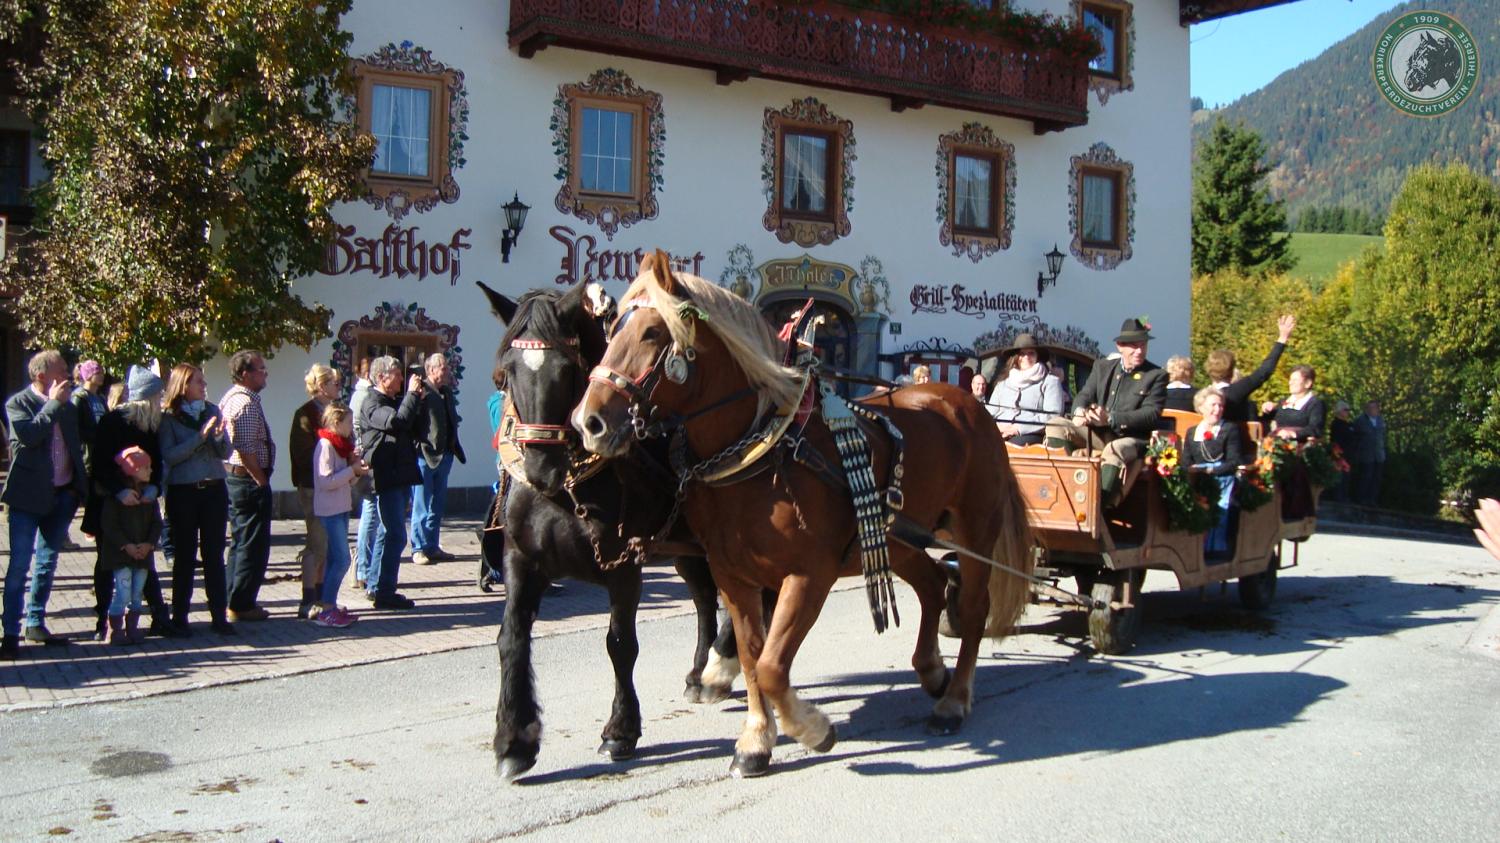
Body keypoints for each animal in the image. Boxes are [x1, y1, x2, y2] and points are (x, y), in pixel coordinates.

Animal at [476, 280, 741, 781]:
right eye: (504, 374)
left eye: (566, 370)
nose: (540, 468)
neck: (566, 492)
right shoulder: (520, 560)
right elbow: (511, 639)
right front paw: (514, 740)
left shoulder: (625, 567)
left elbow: (620, 644)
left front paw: (620, 729)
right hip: (686, 550)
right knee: (703, 599)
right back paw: (701, 674)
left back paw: (724, 662)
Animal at [572, 251, 1035, 777]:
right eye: (611, 328)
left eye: (652, 332)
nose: (588, 422)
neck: (762, 451)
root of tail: (970, 404)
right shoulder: (732, 576)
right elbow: (752, 658)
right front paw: (756, 740)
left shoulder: (809, 575)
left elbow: (773, 666)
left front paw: (811, 728)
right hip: (896, 539)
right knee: (934, 584)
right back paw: (932, 669)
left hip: (976, 532)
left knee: (973, 609)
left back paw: (953, 700)